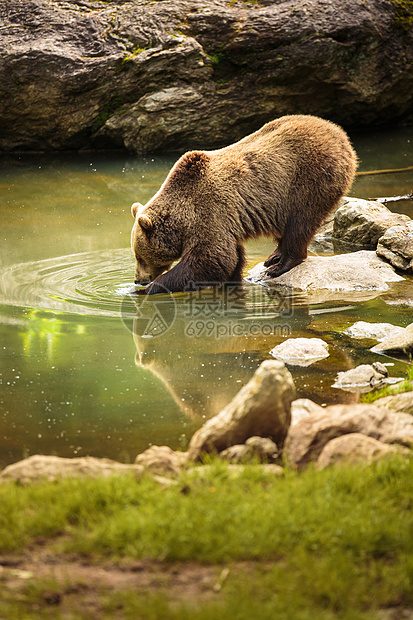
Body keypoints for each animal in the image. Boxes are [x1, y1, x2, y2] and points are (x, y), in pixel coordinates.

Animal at [130, 115, 356, 296]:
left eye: (139, 256)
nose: (138, 279)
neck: (182, 219)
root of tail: (338, 132)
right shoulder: (225, 221)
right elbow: (230, 259)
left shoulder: (208, 213)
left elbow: (210, 259)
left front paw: (148, 289)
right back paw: (274, 256)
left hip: (308, 179)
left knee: (300, 222)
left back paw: (280, 265)